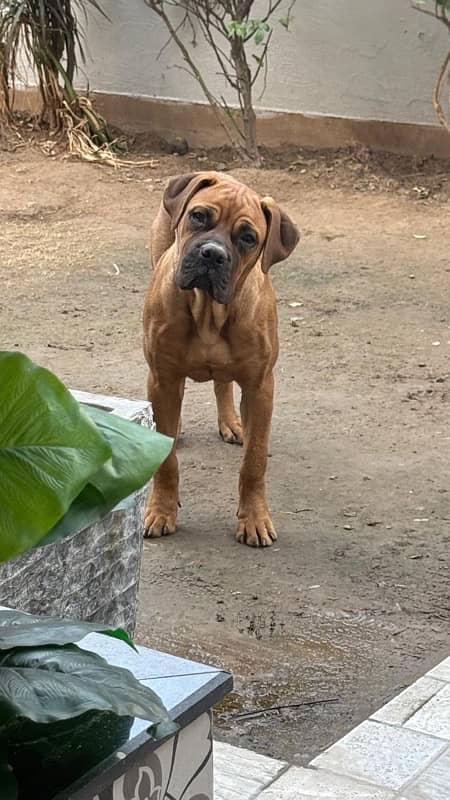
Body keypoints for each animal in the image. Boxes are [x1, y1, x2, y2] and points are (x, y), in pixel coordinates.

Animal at [143, 172, 298, 548]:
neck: (208, 311)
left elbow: (254, 462)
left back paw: (231, 422)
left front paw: (254, 518)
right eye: (198, 216)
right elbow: (167, 462)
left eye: (248, 237)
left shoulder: (260, 388)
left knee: (223, 383)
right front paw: (161, 511)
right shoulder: (161, 376)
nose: (212, 254)